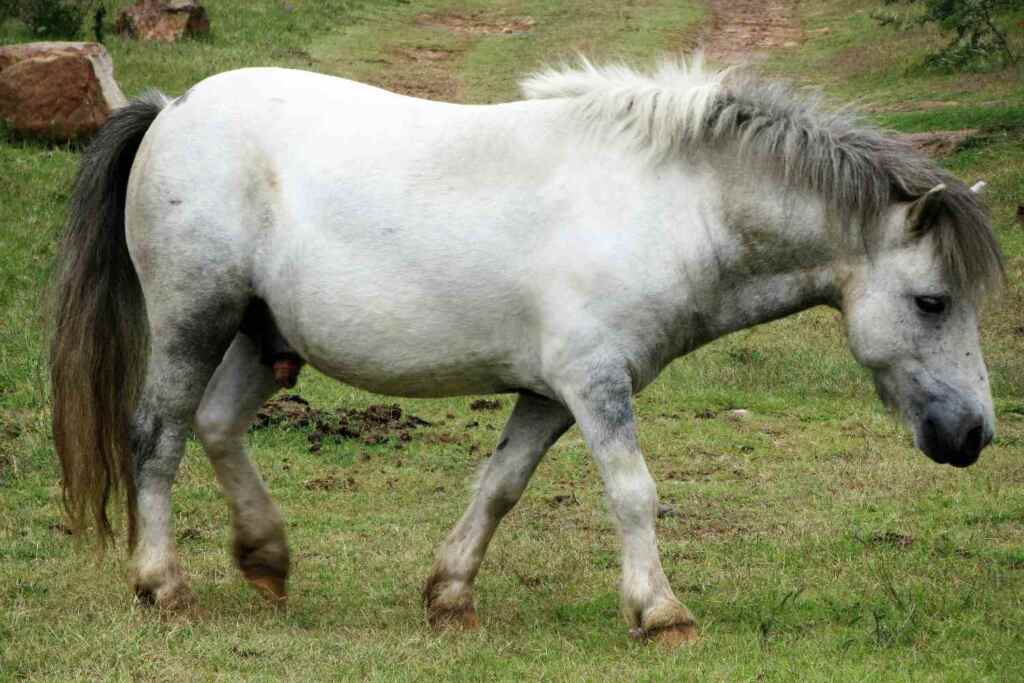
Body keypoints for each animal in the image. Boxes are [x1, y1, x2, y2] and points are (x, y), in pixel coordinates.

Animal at [50, 56, 1004, 645]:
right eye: (933, 301)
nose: (974, 437)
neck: (666, 205)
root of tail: (173, 109)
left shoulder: (551, 393)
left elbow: (500, 485)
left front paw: (450, 596)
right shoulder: (595, 383)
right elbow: (633, 491)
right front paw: (660, 612)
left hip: (261, 333)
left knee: (215, 427)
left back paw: (267, 557)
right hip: (194, 320)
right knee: (158, 438)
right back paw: (163, 584)